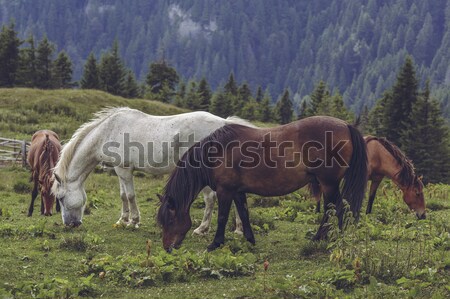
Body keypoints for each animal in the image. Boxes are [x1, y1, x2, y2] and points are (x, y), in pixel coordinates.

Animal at [51, 108, 253, 232]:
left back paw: (202, 229)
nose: (70, 224)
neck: (107, 132)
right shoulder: (120, 170)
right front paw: (122, 220)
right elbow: (123, 196)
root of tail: (224, 124)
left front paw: (133, 221)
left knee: (210, 198)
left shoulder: (124, 170)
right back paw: (238, 230)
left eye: (60, 198)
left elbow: (130, 196)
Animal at [156, 117, 368, 253]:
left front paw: (215, 244)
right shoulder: (237, 192)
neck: (217, 152)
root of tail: (345, 125)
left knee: (334, 209)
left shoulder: (225, 191)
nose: (167, 247)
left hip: (329, 184)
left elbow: (223, 217)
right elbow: (244, 214)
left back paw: (323, 238)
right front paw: (250, 239)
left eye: (170, 220)